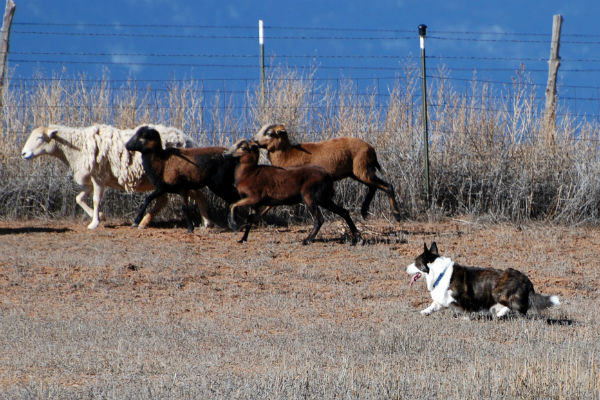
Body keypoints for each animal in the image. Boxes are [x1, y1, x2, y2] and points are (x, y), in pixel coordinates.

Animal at [19, 123, 199, 230]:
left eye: (40, 137)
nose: (23, 154)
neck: (77, 147)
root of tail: (187, 139)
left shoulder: (99, 177)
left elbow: (95, 200)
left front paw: (94, 223)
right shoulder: (91, 179)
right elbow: (79, 198)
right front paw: (100, 216)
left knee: (166, 200)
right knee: (165, 200)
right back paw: (145, 222)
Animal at [224, 141, 356, 247]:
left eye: (243, 147)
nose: (225, 154)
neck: (249, 173)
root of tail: (328, 176)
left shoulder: (254, 198)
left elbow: (233, 205)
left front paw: (233, 226)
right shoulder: (254, 204)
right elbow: (250, 219)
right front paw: (242, 239)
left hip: (310, 197)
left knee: (319, 219)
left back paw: (306, 240)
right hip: (324, 199)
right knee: (343, 212)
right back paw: (356, 237)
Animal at [253, 122, 404, 222]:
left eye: (270, 133)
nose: (253, 141)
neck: (287, 154)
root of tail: (371, 149)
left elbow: (272, 202)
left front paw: (258, 218)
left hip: (362, 170)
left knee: (387, 186)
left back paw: (396, 215)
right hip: (358, 172)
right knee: (373, 187)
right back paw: (364, 212)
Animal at [406, 242, 560, 318]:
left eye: (416, 263)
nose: (405, 268)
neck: (439, 273)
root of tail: (526, 281)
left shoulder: (458, 299)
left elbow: (461, 308)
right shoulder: (441, 299)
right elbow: (434, 305)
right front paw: (425, 312)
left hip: (499, 292)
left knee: (514, 306)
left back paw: (499, 312)